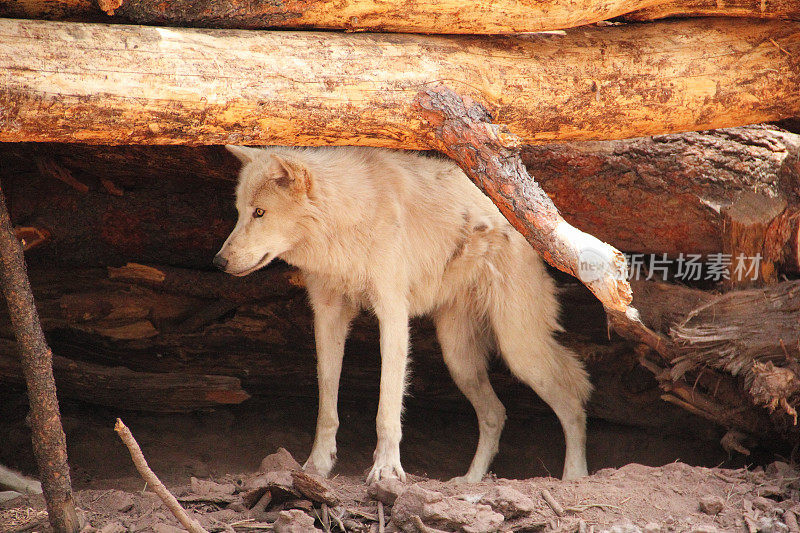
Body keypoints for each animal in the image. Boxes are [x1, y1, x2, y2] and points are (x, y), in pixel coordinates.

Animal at [216, 145, 592, 482]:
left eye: (260, 213)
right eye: (239, 211)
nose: (218, 262)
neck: (349, 217)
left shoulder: (393, 313)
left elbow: (388, 409)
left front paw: (386, 471)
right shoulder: (327, 316)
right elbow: (326, 404)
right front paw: (317, 466)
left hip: (519, 351)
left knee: (574, 399)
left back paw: (575, 476)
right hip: (458, 358)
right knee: (495, 414)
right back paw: (469, 481)